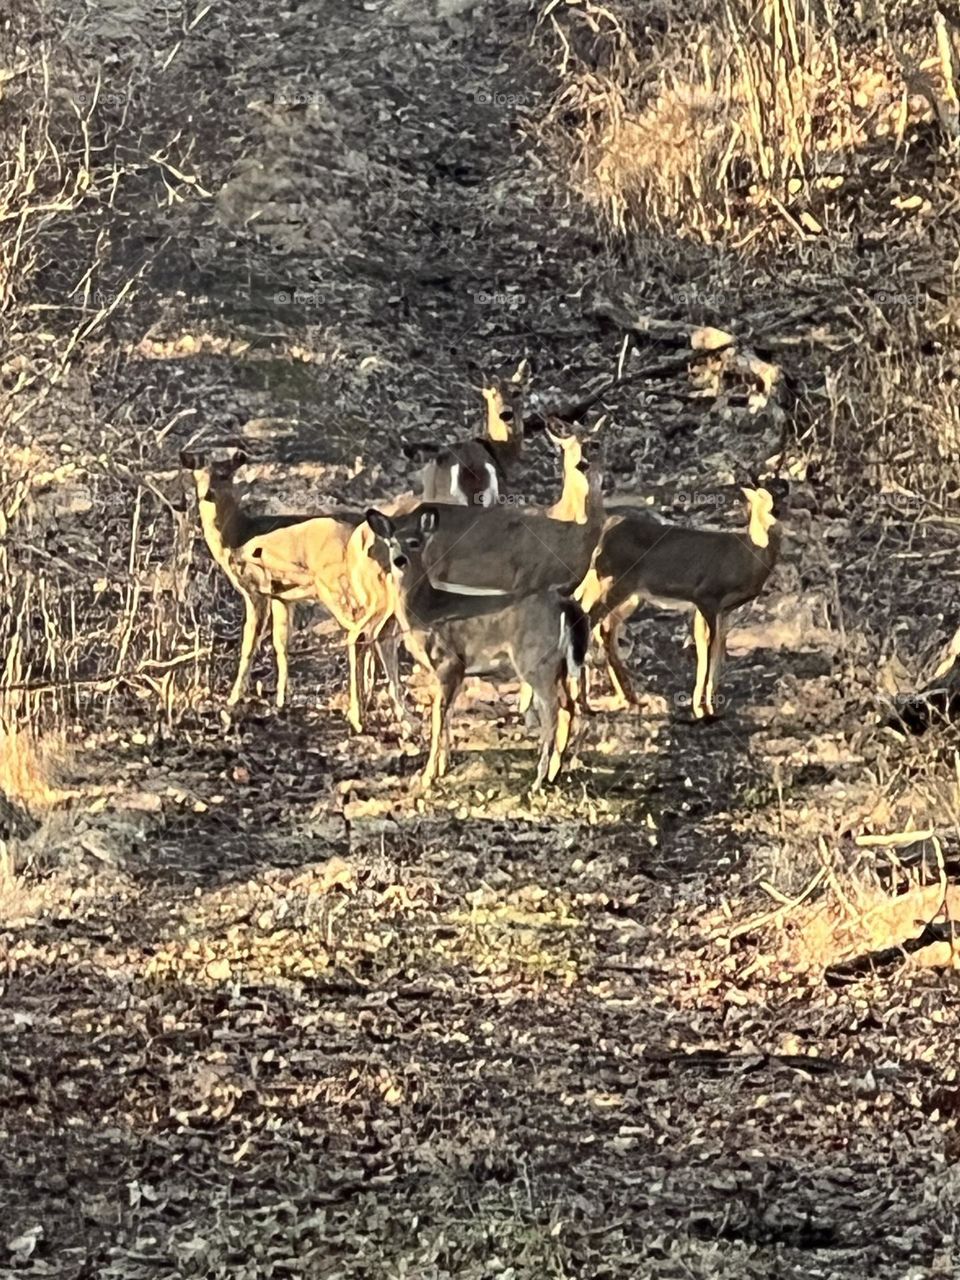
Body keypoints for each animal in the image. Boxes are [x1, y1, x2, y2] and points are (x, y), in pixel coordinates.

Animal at [179, 449, 408, 732]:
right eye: (197, 474)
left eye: (223, 474)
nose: (206, 493)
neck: (236, 538)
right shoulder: (281, 596)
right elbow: (281, 643)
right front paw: (281, 700)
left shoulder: (255, 589)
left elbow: (249, 643)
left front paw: (233, 699)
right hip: (375, 591)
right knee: (384, 635)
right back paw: (392, 715)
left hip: (336, 584)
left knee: (360, 635)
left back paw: (358, 717)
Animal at [365, 506, 589, 792]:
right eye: (391, 543)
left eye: (414, 542)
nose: (399, 560)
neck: (426, 610)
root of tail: (564, 604)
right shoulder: (454, 671)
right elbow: (447, 716)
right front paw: (442, 768)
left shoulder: (449, 661)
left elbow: (437, 719)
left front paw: (427, 777)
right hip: (556, 663)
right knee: (568, 705)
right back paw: (553, 772)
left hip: (533, 659)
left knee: (553, 708)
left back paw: (538, 780)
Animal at [575, 477, 790, 719]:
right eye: (759, 503)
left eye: (778, 502)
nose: (774, 519)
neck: (746, 558)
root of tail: (604, 534)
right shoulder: (706, 595)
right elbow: (708, 648)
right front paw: (704, 708)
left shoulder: (721, 609)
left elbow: (716, 649)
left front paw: (707, 706)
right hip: (616, 582)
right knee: (590, 619)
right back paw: (584, 703)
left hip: (628, 594)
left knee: (604, 628)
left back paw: (629, 698)